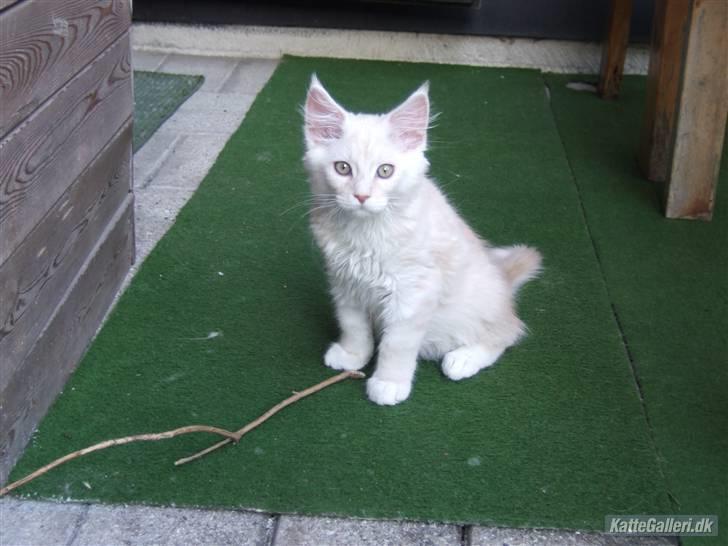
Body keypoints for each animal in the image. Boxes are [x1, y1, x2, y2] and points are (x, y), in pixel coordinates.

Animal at [302, 74, 540, 402]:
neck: (365, 233)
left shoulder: (413, 292)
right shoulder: (345, 282)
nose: (361, 196)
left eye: (385, 171)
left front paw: (389, 383)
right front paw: (353, 355)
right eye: (342, 168)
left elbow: (396, 344)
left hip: (479, 306)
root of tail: (503, 280)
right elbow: (353, 326)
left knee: (508, 332)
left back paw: (463, 359)